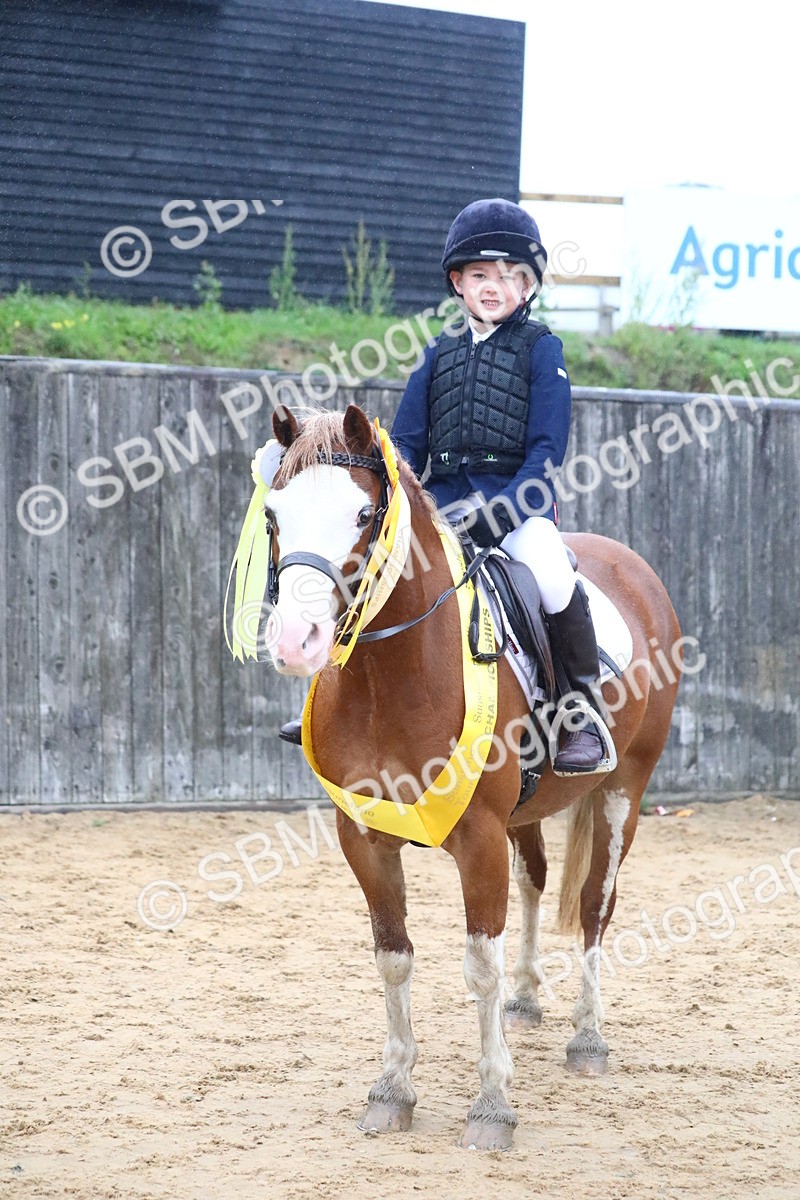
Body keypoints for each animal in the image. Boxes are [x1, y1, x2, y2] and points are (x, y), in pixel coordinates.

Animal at [259, 402, 682, 1151]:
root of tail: (632, 566)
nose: (293, 642)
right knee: (537, 878)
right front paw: (393, 1090)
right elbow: (393, 956)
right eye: (274, 514)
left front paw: (491, 1106)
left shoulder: (480, 837)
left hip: (623, 791)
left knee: (596, 907)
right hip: (529, 815)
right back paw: (528, 1000)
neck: (391, 680)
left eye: (363, 515)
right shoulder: (364, 838)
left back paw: (588, 1038)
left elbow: (479, 965)